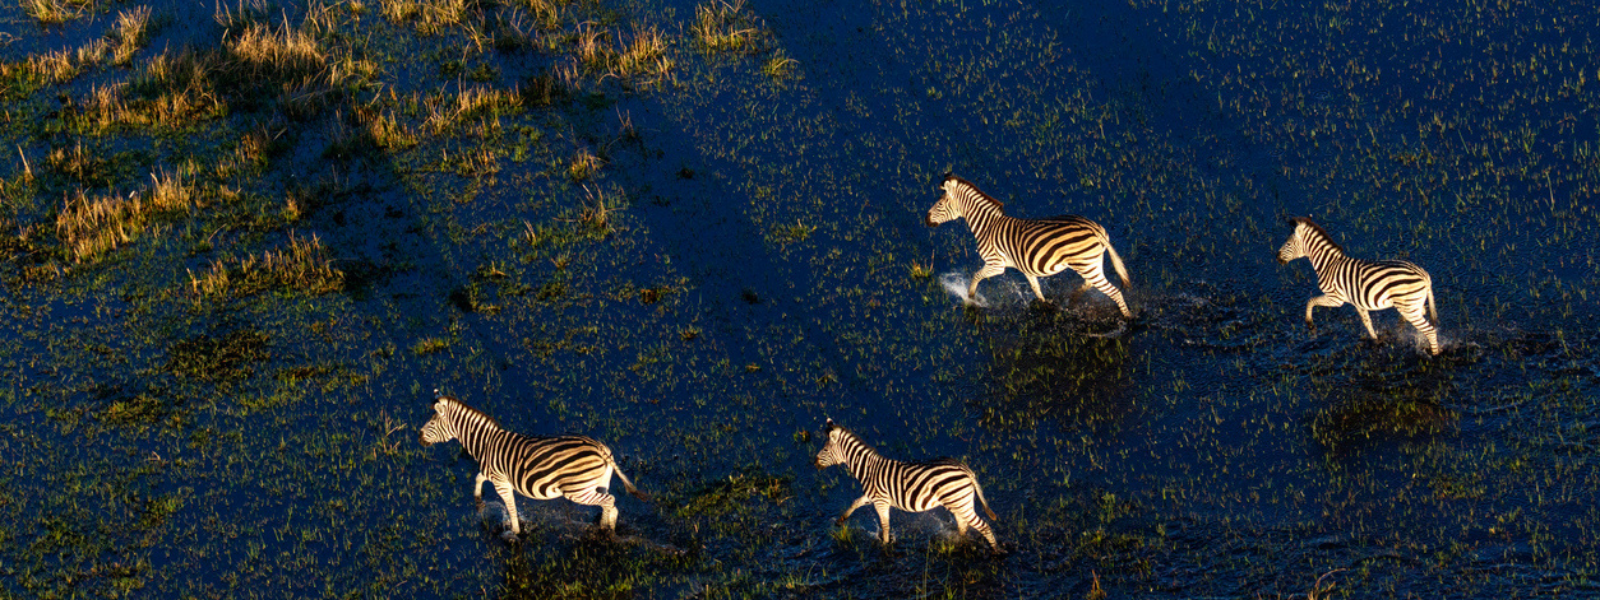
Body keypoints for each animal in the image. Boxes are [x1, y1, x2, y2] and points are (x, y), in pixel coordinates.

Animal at [422, 395, 652, 540]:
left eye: (431, 423)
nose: (418, 436)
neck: (486, 444)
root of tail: (601, 448)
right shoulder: (492, 474)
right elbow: (478, 478)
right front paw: (478, 501)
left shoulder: (501, 482)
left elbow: (511, 508)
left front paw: (515, 532)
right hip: (599, 483)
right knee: (610, 504)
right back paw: (607, 528)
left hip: (577, 490)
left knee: (609, 501)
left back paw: (605, 530)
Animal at [812, 419, 998, 553]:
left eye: (825, 450)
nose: (814, 463)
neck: (869, 469)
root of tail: (965, 469)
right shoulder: (872, 497)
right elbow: (855, 502)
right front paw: (840, 521)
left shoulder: (881, 502)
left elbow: (885, 525)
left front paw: (885, 545)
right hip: (960, 502)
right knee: (963, 525)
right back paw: (960, 543)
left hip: (959, 502)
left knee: (984, 526)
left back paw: (996, 552)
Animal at [928, 173, 1139, 320]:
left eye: (940, 205)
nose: (925, 220)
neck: (987, 226)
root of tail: (1094, 228)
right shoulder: (1025, 267)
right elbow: (1036, 288)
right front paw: (1046, 305)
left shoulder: (996, 264)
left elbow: (976, 276)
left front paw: (971, 300)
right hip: (1092, 262)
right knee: (1090, 283)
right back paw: (1072, 300)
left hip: (1086, 264)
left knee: (1114, 292)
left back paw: (1129, 319)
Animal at [1280, 217, 1446, 355]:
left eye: (1288, 244)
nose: (1277, 257)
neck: (1329, 265)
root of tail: (1423, 275)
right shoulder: (1357, 301)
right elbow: (1367, 322)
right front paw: (1376, 340)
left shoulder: (1336, 299)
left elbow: (1310, 301)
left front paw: (1310, 324)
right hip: (1413, 304)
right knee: (1423, 313)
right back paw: (1404, 329)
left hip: (1409, 306)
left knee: (1430, 331)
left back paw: (1434, 354)